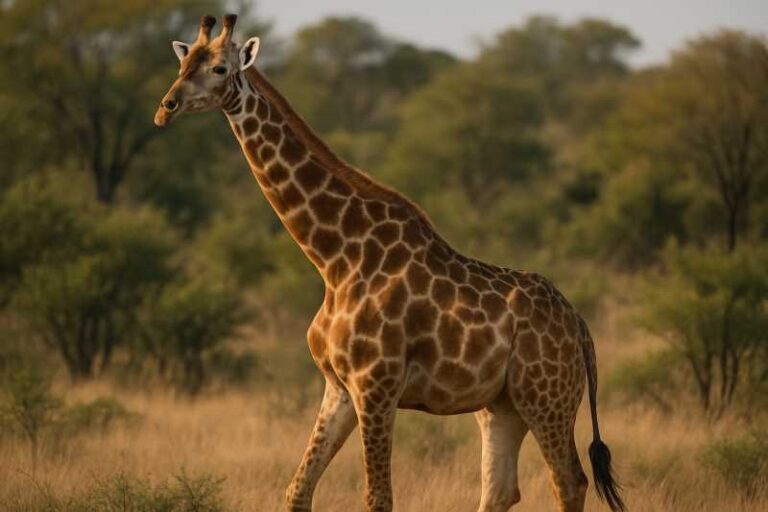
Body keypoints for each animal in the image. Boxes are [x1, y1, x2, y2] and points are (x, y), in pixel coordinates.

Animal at [154, 15, 625, 512]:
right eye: (183, 63)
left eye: (220, 68)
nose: (166, 107)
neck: (335, 259)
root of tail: (580, 328)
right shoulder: (338, 387)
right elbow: (297, 490)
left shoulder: (376, 385)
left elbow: (378, 497)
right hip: (502, 405)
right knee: (501, 488)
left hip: (546, 397)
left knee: (569, 481)